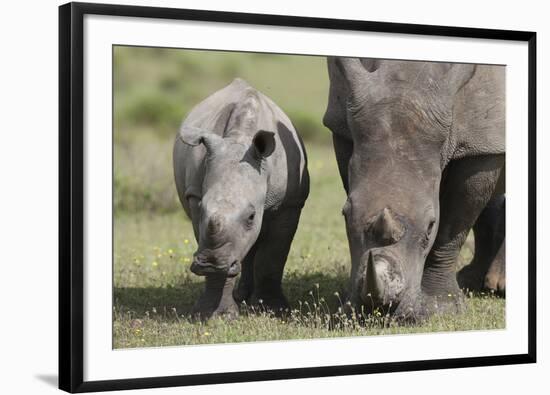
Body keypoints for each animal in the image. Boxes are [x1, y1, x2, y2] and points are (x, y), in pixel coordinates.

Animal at [174, 79, 308, 320]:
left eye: (251, 216)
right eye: (202, 207)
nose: (210, 263)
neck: (239, 138)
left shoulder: (289, 202)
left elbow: (273, 256)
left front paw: (274, 310)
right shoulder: (195, 195)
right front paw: (215, 315)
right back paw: (242, 297)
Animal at [326, 57, 506, 320]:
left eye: (430, 226)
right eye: (344, 215)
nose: (381, 309)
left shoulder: (482, 142)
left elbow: (453, 228)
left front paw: (443, 308)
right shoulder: (342, 124)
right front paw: (348, 306)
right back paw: (472, 282)